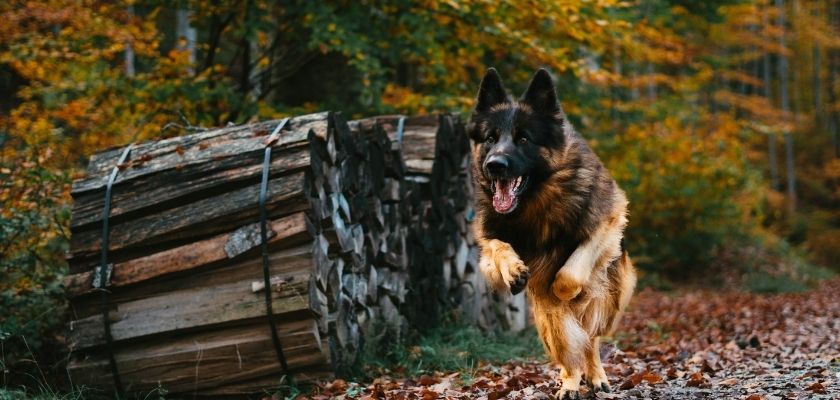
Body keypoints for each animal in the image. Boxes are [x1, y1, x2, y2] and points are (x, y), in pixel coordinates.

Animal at [466, 67, 636, 398]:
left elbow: (571, 271)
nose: (495, 165)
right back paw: (570, 381)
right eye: (491, 138)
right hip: (547, 318)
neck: (533, 203)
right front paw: (513, 270)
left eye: (523, 138)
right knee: (569, 350)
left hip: (607, 301)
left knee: (590, 339)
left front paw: (565, 289)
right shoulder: (487, 245)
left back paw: (595, 375)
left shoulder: (608, 221)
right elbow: (498, 247)